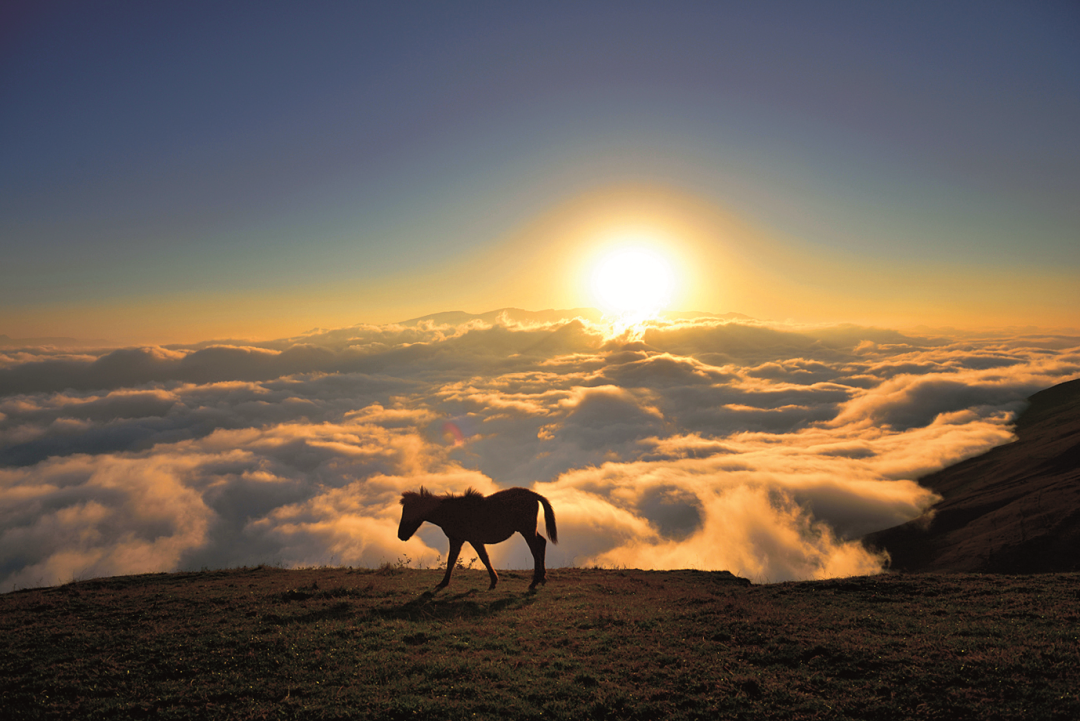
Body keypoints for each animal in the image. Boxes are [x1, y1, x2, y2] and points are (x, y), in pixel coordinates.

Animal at [401, 483, 561, 591]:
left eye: (409, 510)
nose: (400, 535)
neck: (452, 511)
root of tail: (534, 495)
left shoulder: (467, 539)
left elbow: (480, 558)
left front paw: (493, 582)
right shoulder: (460, 540)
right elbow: (455, 559)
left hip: (526, 530)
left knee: (535, 549)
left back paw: (535, 581)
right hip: (529, 530)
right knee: (541, 542)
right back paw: (542, 578)